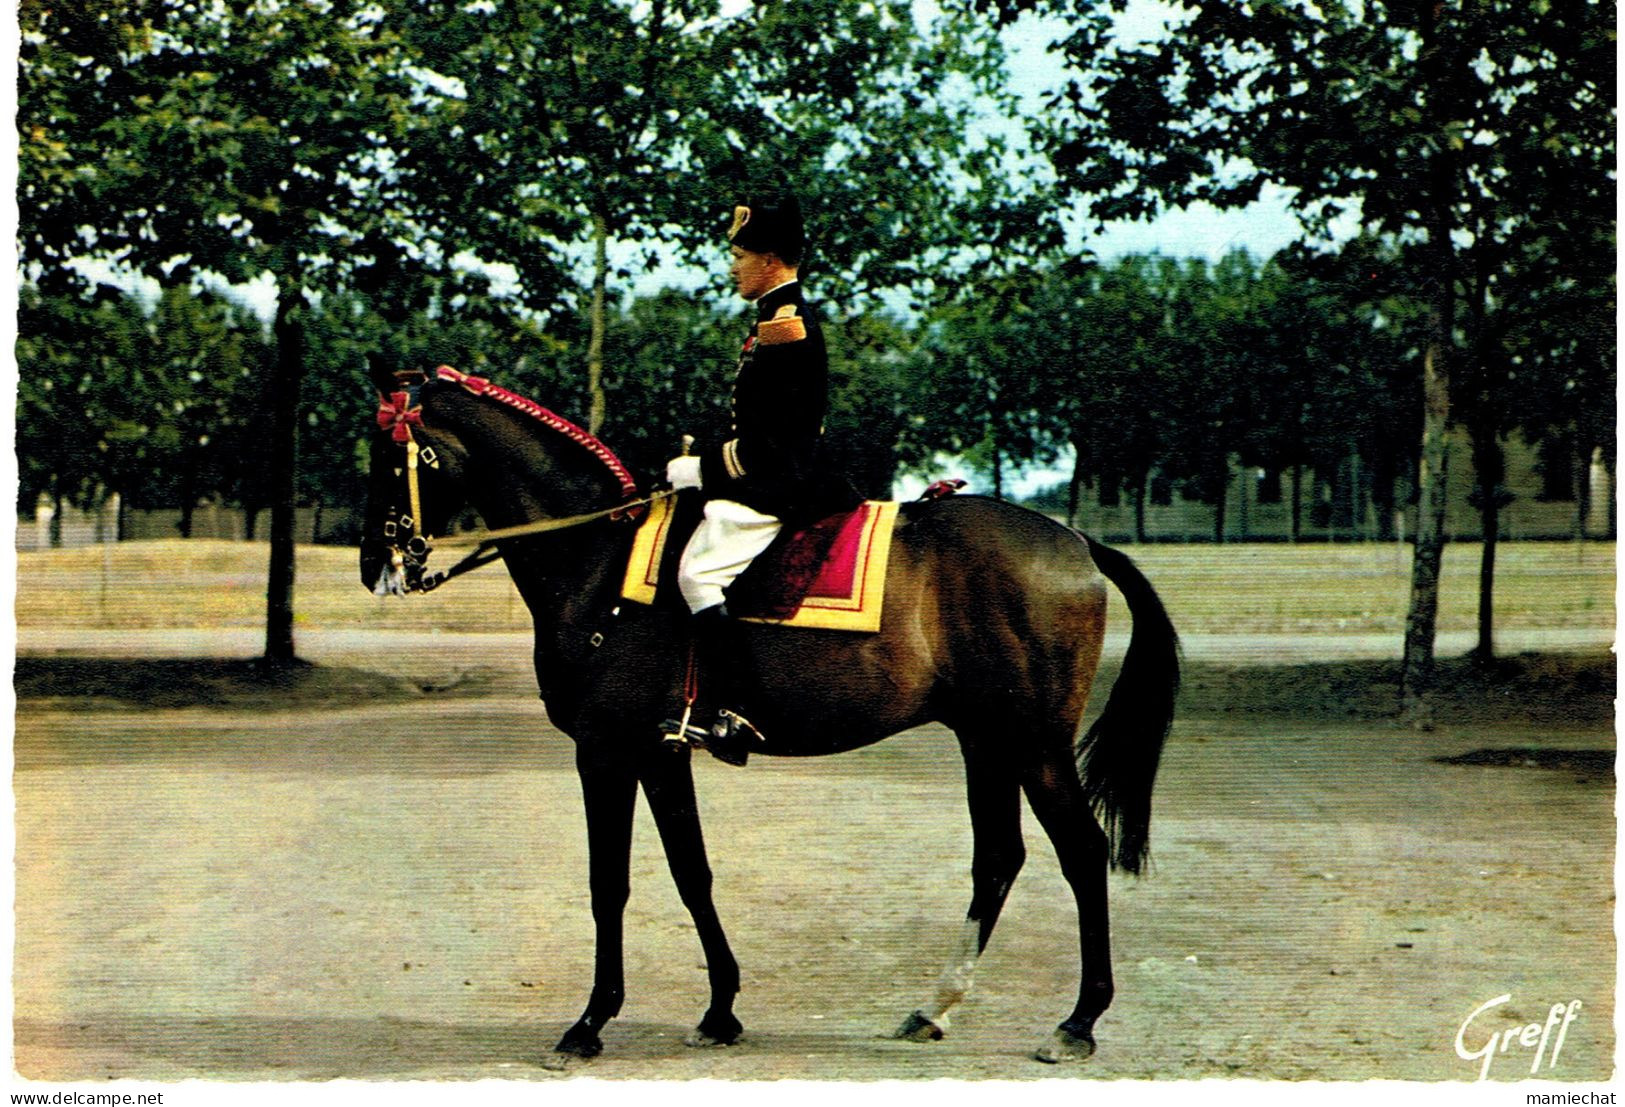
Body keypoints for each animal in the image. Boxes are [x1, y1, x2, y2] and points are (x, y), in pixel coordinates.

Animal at [359, 362, 1183, 1059]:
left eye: (389, 460)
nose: (376, 567)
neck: (596, 559)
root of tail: (1075, 541)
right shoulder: (660, 751)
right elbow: (691, 873)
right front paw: (720, 1010)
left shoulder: (605, 749)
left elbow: (609, 883)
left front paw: (590, 1022)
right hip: (984, 738)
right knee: (998, 859)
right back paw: (934, 1007)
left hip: (1034, 743)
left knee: (1081, 852)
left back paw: (1078, 1021)